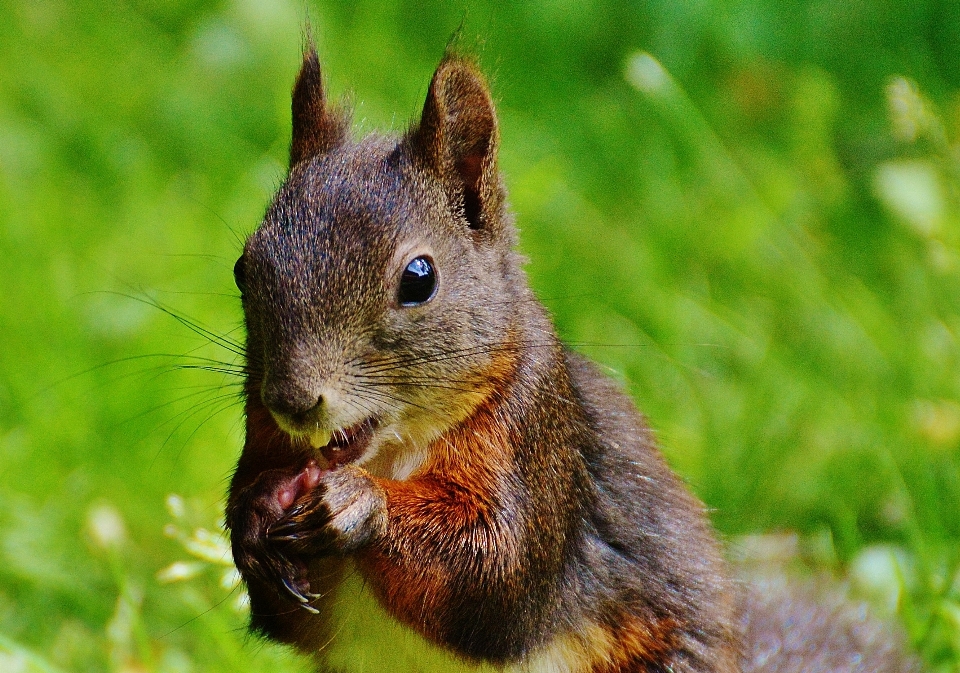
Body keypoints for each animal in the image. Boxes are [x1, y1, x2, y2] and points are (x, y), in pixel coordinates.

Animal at [225, 47, 924, 672]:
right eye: (243, 266)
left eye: (419, 278)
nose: (292, 400)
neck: (392, 450)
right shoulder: (264, 439)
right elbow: (284, 616)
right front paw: (254, 517)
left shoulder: (538, 439)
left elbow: (492, 576)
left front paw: (356, 504)